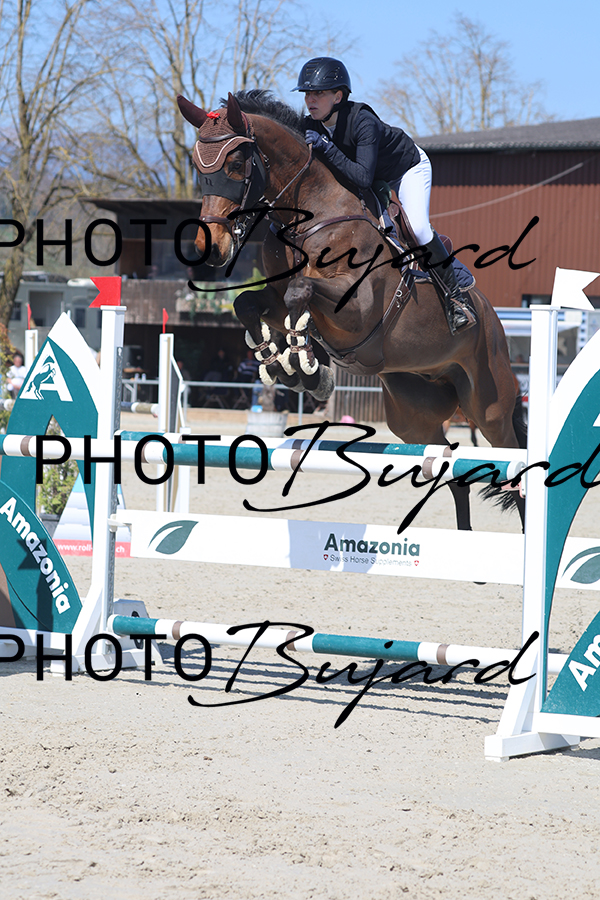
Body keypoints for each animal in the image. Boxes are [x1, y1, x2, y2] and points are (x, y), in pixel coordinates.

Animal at [177, 90, 526, 531]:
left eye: (236, 165)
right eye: (197, 167)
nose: (211, 249)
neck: (308, 216)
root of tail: (494, 322)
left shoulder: (355, 310)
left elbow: (301, 293)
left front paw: (307, 367)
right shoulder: (274, 296)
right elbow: (250, 303)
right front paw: (283, 367)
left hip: (489, 404)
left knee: (516, 467)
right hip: (414, 414)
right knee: (448, 467)